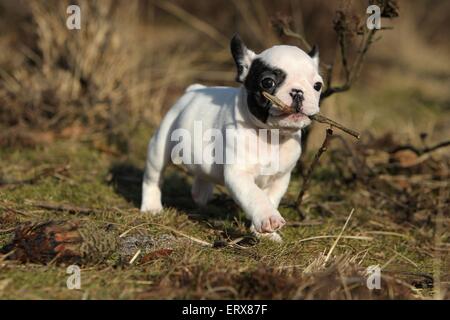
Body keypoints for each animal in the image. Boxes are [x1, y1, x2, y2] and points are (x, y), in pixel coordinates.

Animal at [139, 35, 322, 240]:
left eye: (317, 86)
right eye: (268, 82)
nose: (298, 92)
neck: (271, 135)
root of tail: (192, 91)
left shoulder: (280, 179)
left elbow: (270, 198)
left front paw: (265, 234)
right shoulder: (239, 174)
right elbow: (255, 196)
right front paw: (268, 218)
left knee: (202, 173)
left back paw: (200, 194)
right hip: (160, 145)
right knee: (153, 176)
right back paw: (151, 207)